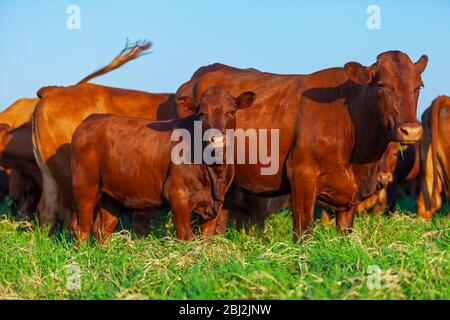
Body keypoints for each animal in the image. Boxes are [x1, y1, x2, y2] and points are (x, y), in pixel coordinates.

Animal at [72, 86, 256, 241]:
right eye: (201, 114)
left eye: (231, 112)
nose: (216, 139)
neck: (214, 173)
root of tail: (93, 118)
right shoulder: (178, 196)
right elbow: (185, 236)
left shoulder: (215, 203)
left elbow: (206, 239)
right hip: (85, 188)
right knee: (82, 228)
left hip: (110, 194)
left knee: (103, 228)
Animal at [178, 50, 428, 240]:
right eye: (382, 86)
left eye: (419, 87)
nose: (411, 130)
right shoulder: (302, 174)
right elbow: (304, 230)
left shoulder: (350, 194)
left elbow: (345, 230)